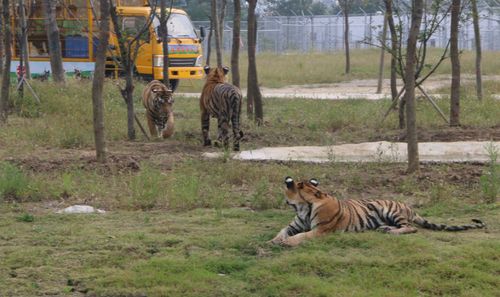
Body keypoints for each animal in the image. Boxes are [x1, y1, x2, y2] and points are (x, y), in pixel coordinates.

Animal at [272, 176, 486, 245]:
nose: (283, 197)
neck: (303, 206)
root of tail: (409, 206)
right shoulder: (294, 225)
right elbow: (282, 231)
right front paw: (273, 240)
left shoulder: (320, 230)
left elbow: (302, 236)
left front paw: (287, 242)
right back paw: (385, 229)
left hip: (390, 210)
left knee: (411, 228)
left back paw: (391, 232)